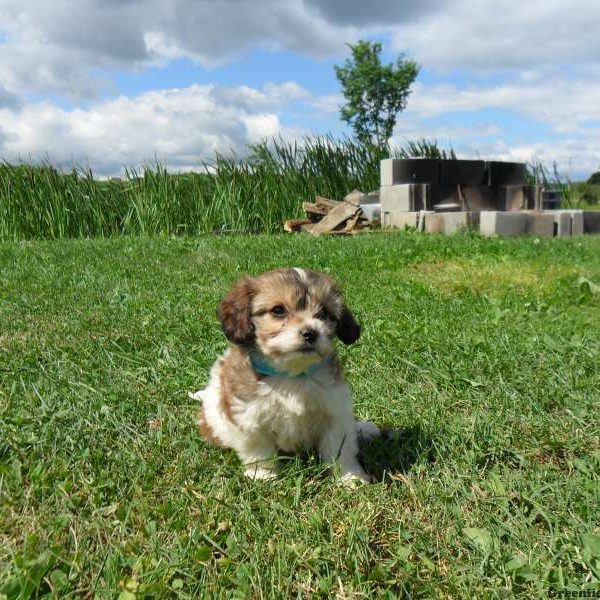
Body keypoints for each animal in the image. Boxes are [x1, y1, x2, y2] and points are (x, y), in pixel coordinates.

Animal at [190, 268, 380, 482]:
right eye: (278, 310)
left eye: (323, 313)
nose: (311, 333)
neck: (292, 375)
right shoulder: (249, 415)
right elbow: (258, 448)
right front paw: (263, 475)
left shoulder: (334, 408)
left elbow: (340, 447)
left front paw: (349, 477)